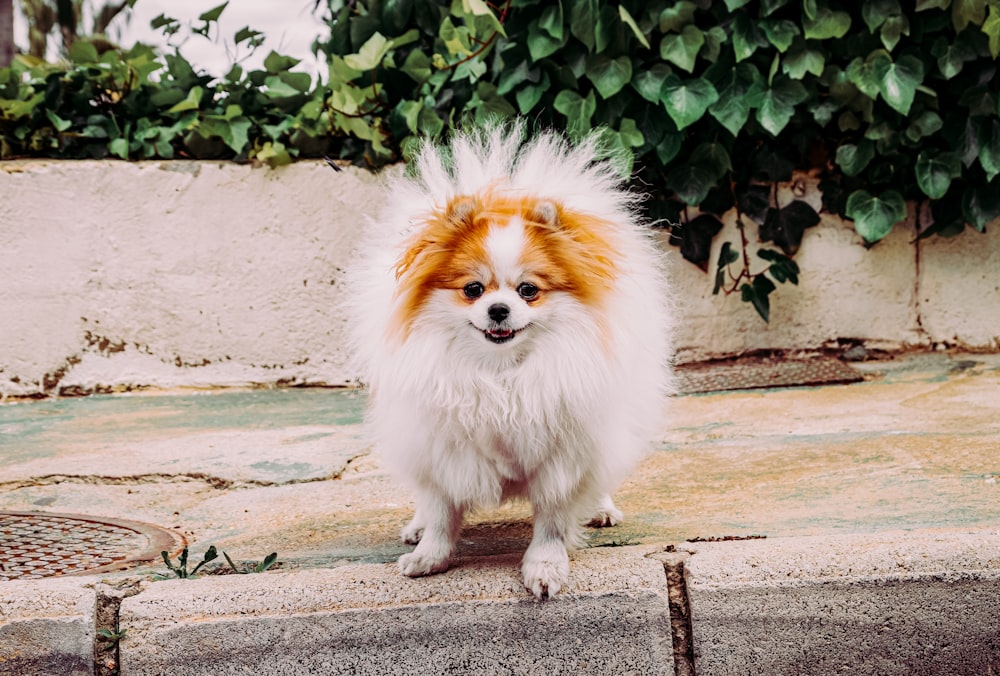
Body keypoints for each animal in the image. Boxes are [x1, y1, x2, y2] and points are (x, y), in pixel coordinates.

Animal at [350, 124, 672, 600]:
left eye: (528, 291)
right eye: (473, 290)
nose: (499, 309)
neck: (501, 373)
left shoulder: (562, 455)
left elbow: (553, 520)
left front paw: (545, 566)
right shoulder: (445, 447)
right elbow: (442, 509)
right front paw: (431, 554)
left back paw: (600, 507)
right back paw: (417, 525)